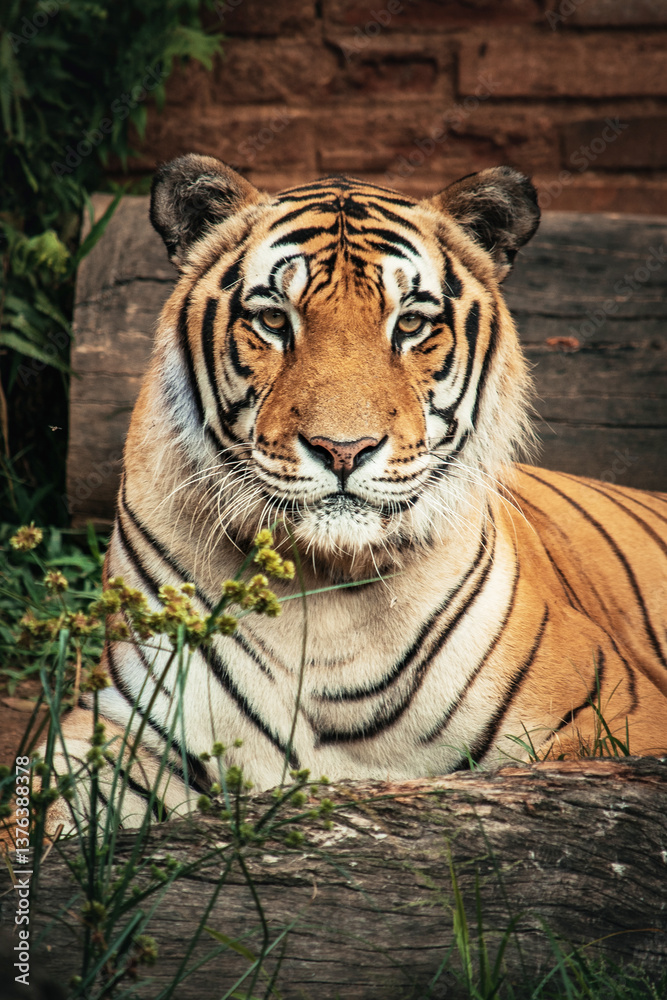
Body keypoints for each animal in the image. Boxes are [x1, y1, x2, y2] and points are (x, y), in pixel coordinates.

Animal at [48, 155, 667, 829]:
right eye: (274, 320)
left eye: (412, 324)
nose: (343, 449)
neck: (324, 596)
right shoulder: (120, 725)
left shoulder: (619, 714)